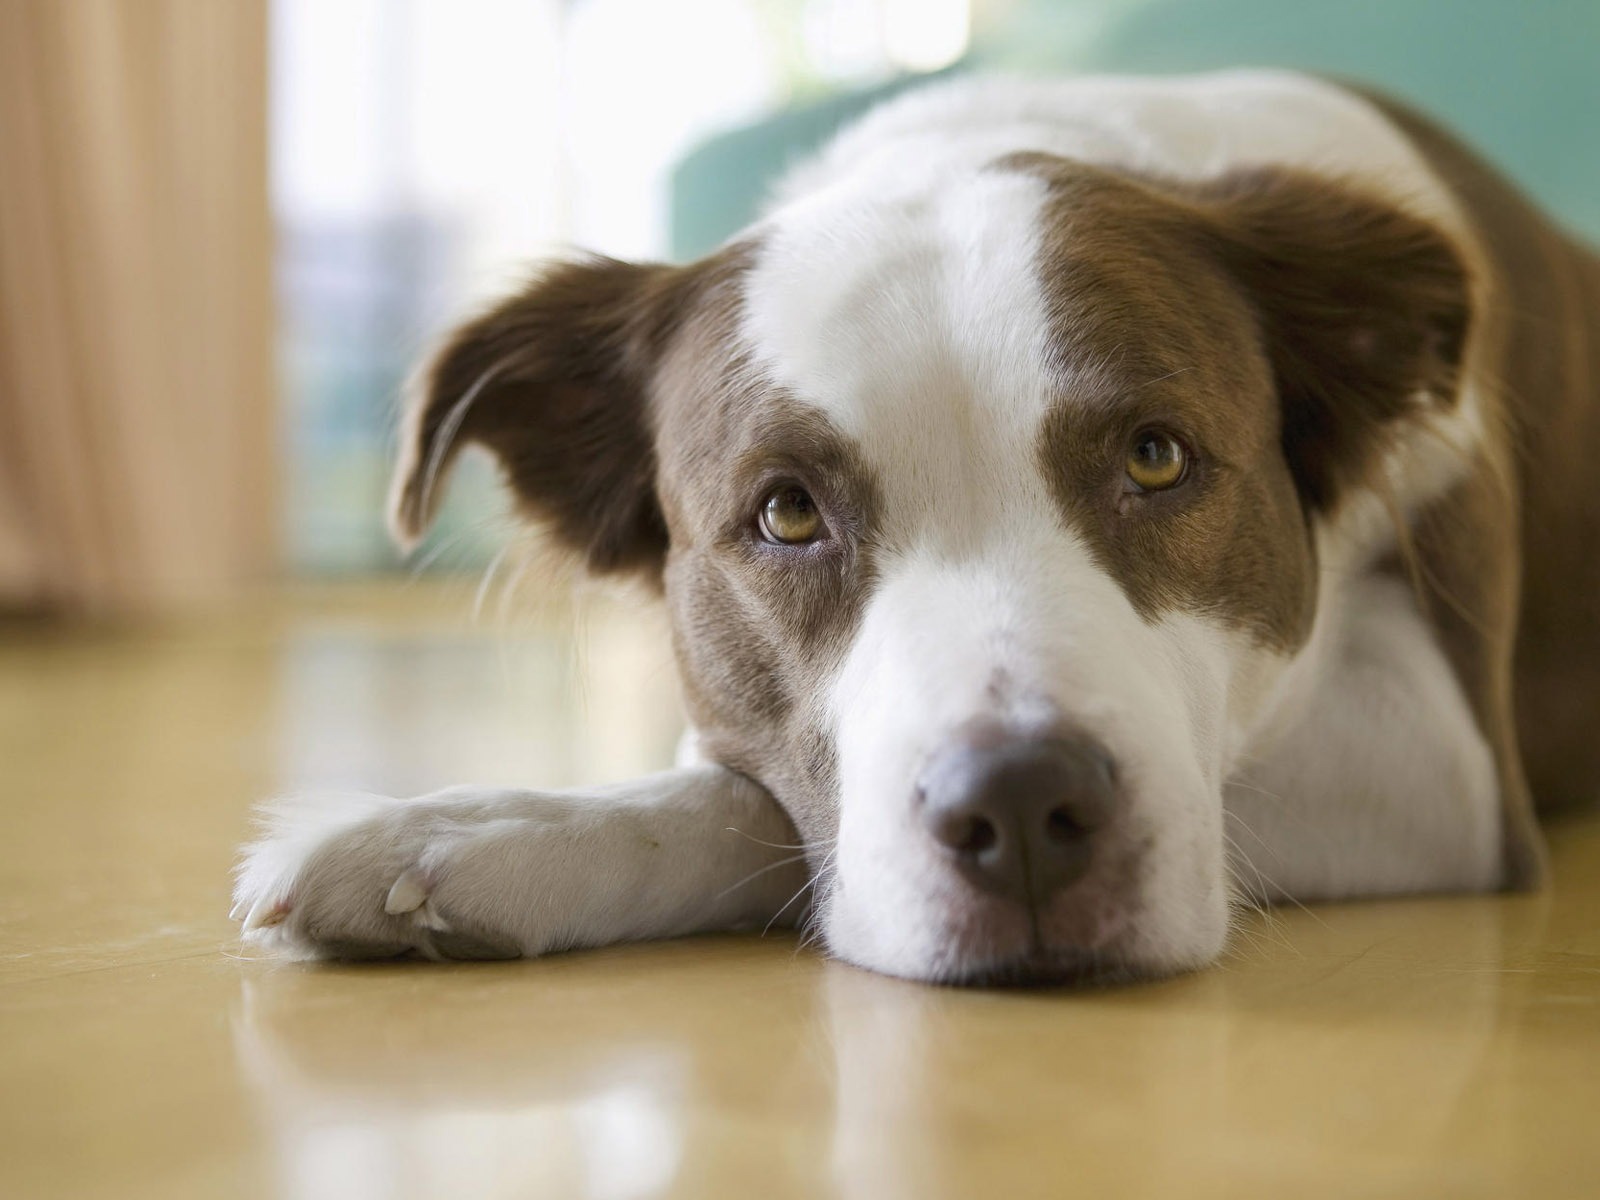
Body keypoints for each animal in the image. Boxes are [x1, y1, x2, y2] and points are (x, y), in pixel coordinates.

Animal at [236, 72, 1600, 985]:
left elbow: (758, 808)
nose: (1025, 810)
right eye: (786, 512)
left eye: (1156, 458)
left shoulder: (1449, 764)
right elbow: (762, 789)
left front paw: (472, 840)